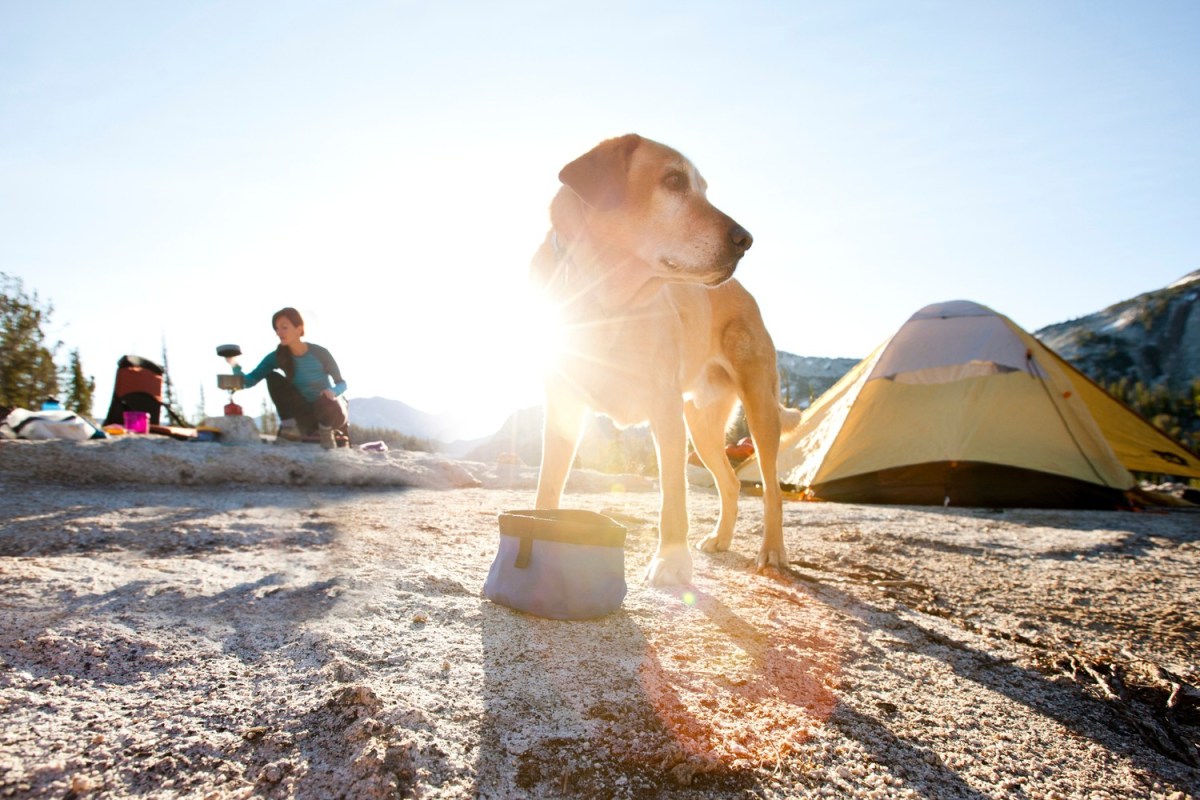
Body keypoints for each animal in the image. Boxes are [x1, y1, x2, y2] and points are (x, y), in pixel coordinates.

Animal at [530, 133, 792, 587]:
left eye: (704, 189)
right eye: (673, 181)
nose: (746, 240)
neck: (607, 299)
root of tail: (745, 292)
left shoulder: (664, 408)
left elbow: (673, 497)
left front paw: (671, 560)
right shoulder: (563, 404)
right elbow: (548, 486)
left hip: (759, 410)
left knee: (772, 490)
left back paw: (772, 551)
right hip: (702, 425)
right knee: (730, 483)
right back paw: (722, 538)